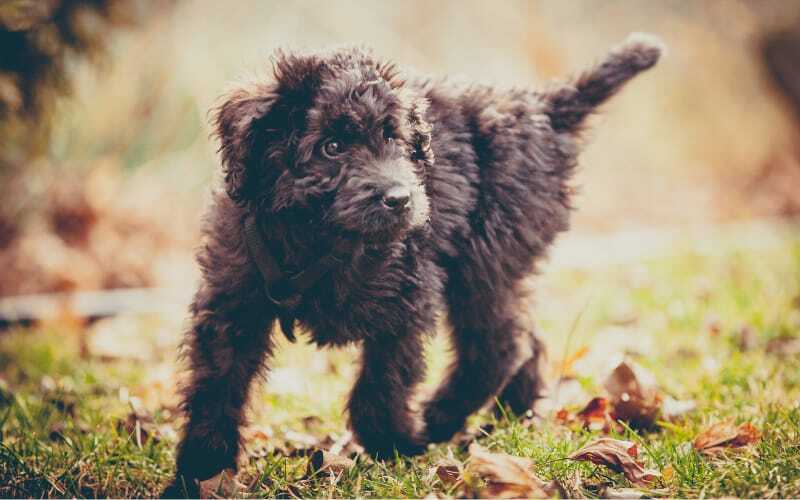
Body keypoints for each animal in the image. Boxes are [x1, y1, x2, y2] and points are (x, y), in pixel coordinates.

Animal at [164, 32, 664, 496]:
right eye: (331, 147)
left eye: (392, 137)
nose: (401, 199)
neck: (316, 238)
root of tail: (541, 108)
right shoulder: (232, 302)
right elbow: (216, 388)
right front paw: (198, 473)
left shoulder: (406, 298)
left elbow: (380, 388)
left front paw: (397, 443)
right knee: (524, 338)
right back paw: (512, 417)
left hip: (485, 256)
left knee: (497, 345)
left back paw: (441, 418)